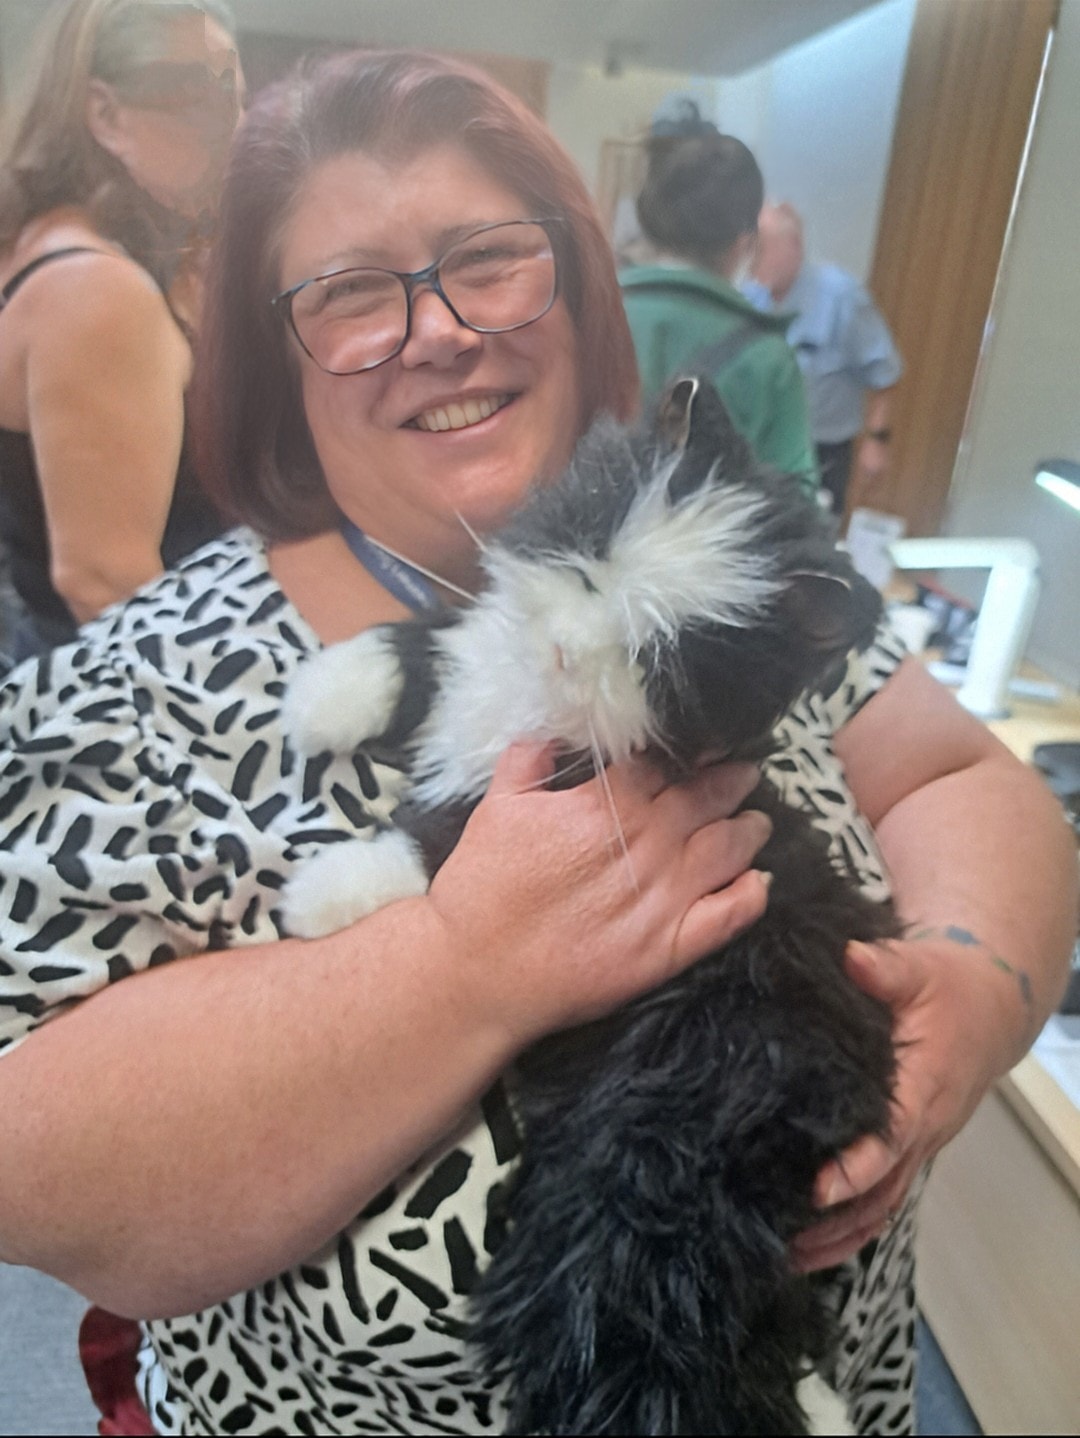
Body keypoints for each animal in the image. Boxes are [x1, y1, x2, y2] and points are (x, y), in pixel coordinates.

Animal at [283, 382, 897, 1438]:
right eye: (595, 551)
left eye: (659, 658)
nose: (568, 648)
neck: (534, 708)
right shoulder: (472, 667)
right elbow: (429, 643)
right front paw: (321, 694)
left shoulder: (530, 811)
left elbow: (441, 850)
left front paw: (321, 893)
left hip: (638, 1188)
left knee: (665, 1351)